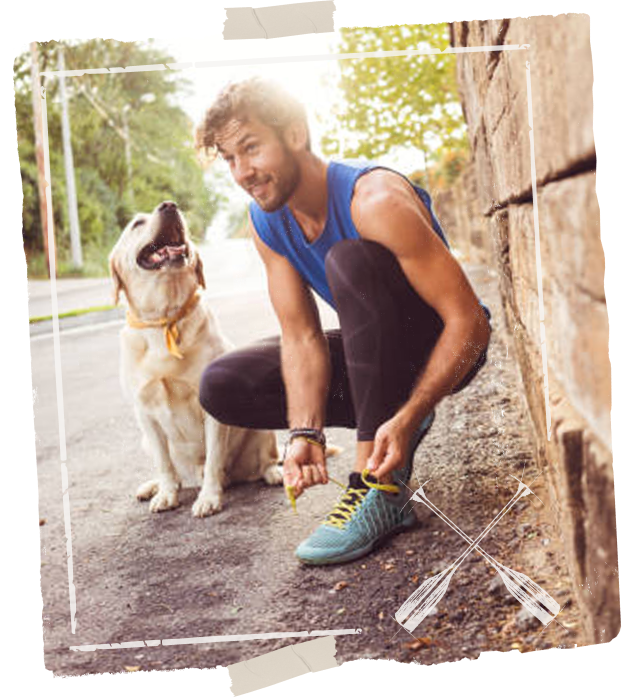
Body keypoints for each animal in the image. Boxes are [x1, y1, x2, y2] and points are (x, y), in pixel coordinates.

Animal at [108, 198, 284, 512]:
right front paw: (166, 493)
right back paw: (153, 486)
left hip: (260, 428)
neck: (164, 319)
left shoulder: (210, 409)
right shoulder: (144, 414)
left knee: (267, 459)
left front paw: (209, 497)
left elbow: (213, 458)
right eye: (137, 224)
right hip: (145, 441)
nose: (169, 205)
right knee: (175, 472)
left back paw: (273, 473)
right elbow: (165, 464)